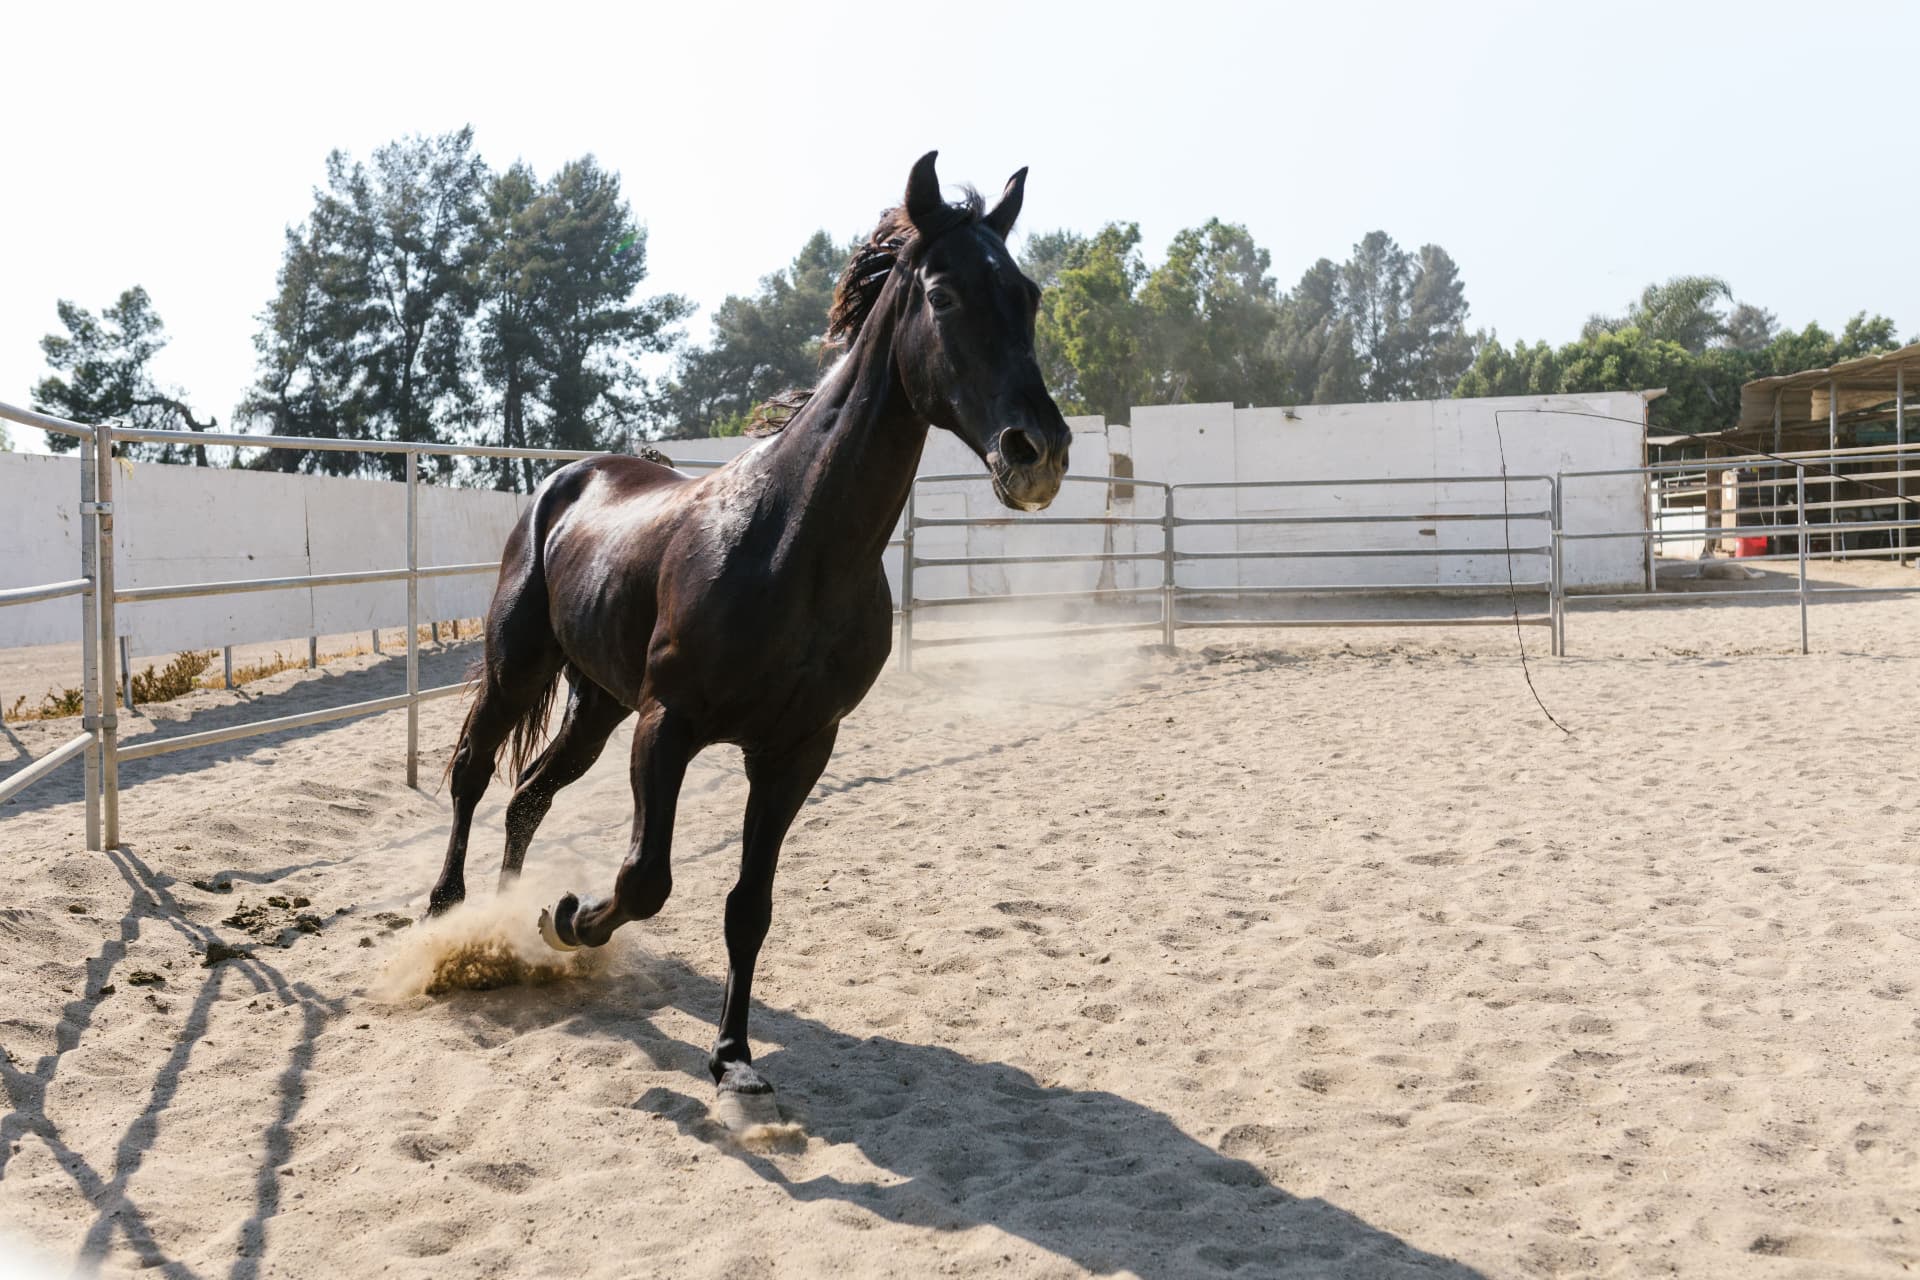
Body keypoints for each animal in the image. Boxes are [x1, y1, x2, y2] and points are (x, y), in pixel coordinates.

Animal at [425, 152, 1071, 1105]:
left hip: (597, 705)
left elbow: (748, 905)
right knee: (474, 772)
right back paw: (450, 912)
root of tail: (565, 479)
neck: (790, 545)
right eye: (945, 293)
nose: (1040, 453)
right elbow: (645, 879)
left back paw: (509, 931)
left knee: (529, 794)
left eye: (1026, 293)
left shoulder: (797, 748)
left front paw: (732, 1058)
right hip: (519, 665)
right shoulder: (668, 725)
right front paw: (574, 919)